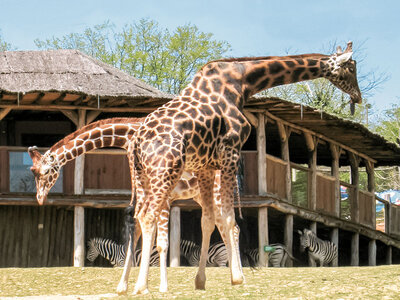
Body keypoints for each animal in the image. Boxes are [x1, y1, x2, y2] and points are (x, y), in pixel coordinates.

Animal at [28, 117, 234, 292]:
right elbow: (139, 235)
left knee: (228, 225)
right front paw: (136, 286)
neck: (129, 136)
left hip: (215, 192)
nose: (39, 198)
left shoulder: (163, 196)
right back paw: (231, 278)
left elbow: (159, 241)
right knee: (224, 225)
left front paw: (159, 287)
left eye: (45, 172)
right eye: (33, 171)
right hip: (201, 196)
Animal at [126, 41, 362, 294]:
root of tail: (136, 143)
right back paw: (140, 286)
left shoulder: (206, 166)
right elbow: (229, 219)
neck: (241, 82)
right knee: (147, 217)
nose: (357, 97)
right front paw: (237, 277)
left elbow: (208, 220)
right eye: (351, 67)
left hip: (144, 178)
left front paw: (201, 280)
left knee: (137, 218)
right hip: (165, 172)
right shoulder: (231, 151)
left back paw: (125, 285)